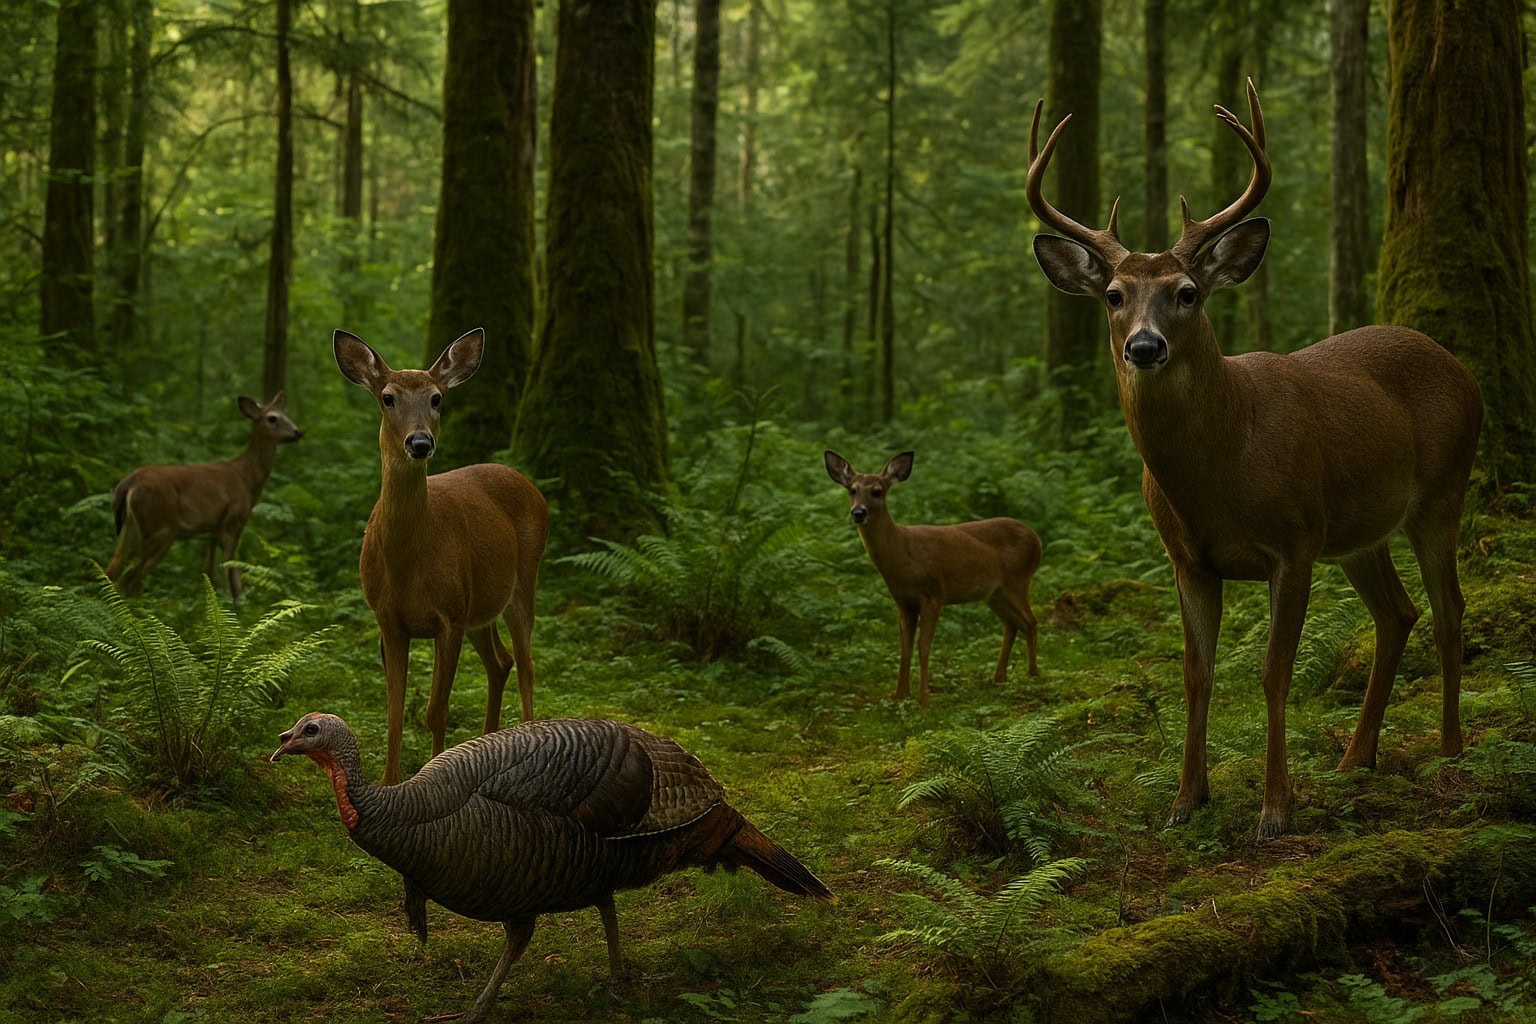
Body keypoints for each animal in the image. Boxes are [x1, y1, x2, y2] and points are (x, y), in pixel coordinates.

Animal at [105, 392, 302, 602]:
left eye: (287, 414)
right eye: (272, 418)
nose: (298, 432)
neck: (247, 480)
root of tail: (128, 484)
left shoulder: (214, 528)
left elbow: (210, 569)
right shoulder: (233, 521)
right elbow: (231, 569)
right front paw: (235, 602)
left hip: (129, 528)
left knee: (115, 569)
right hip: (161, 526)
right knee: (130, 574)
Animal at [334, 327, 549, 786]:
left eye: (436, 398)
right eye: (387, 397)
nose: (419, 442)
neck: (406, 565)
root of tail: (528, 484)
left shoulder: (448, 617)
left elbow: (436, 712)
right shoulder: (388, 619)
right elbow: (394, 712)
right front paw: (388, 782)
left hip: (524, 579)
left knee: (525, 663)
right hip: (478, 606)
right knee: (501, 662)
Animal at [824, 450, 1042, 709]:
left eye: (877, 491)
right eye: (852, 490)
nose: (858, 512)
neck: (903, 555)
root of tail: (1037, 539)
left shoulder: (933, 593)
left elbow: (923, 646)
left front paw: (924, 700)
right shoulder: (903, 601)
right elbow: (904, 647)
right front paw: (900, 697)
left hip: (1018, 580)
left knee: (1031, 621)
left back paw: (1033, 675)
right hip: (995, 593)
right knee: (1013, 623)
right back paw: (999, 678)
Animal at [1025, 80, 1483, 839]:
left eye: (1186, 292)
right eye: (1115, 295)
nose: (1144, 345)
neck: (1221, 468)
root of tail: (1461, 367)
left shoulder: (1293, 542)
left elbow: (1273, 671)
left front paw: (1274, 809)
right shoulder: (1189, 559)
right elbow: (1196, 673)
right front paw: (1186, 799)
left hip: (1441, 494)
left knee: (1449, 610)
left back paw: (1448, 749)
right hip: (1357, 532)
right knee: (1399, 613)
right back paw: (1355, 757)